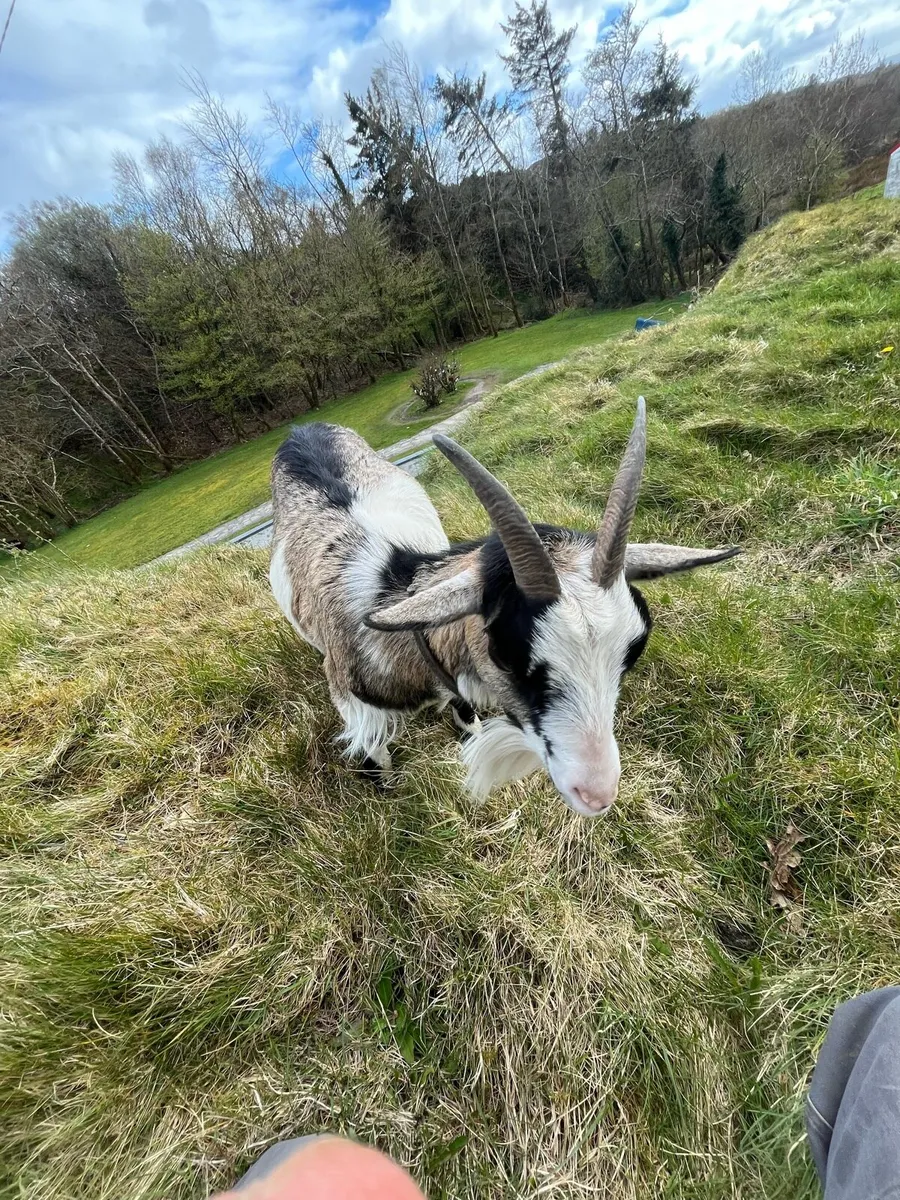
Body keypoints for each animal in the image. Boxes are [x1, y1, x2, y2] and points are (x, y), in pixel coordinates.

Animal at [269, 400, 739, 817]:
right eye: (506, 653)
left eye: (633, 649)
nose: (596, 794)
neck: (392, 586)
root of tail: (302, 430)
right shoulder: (355, 707)